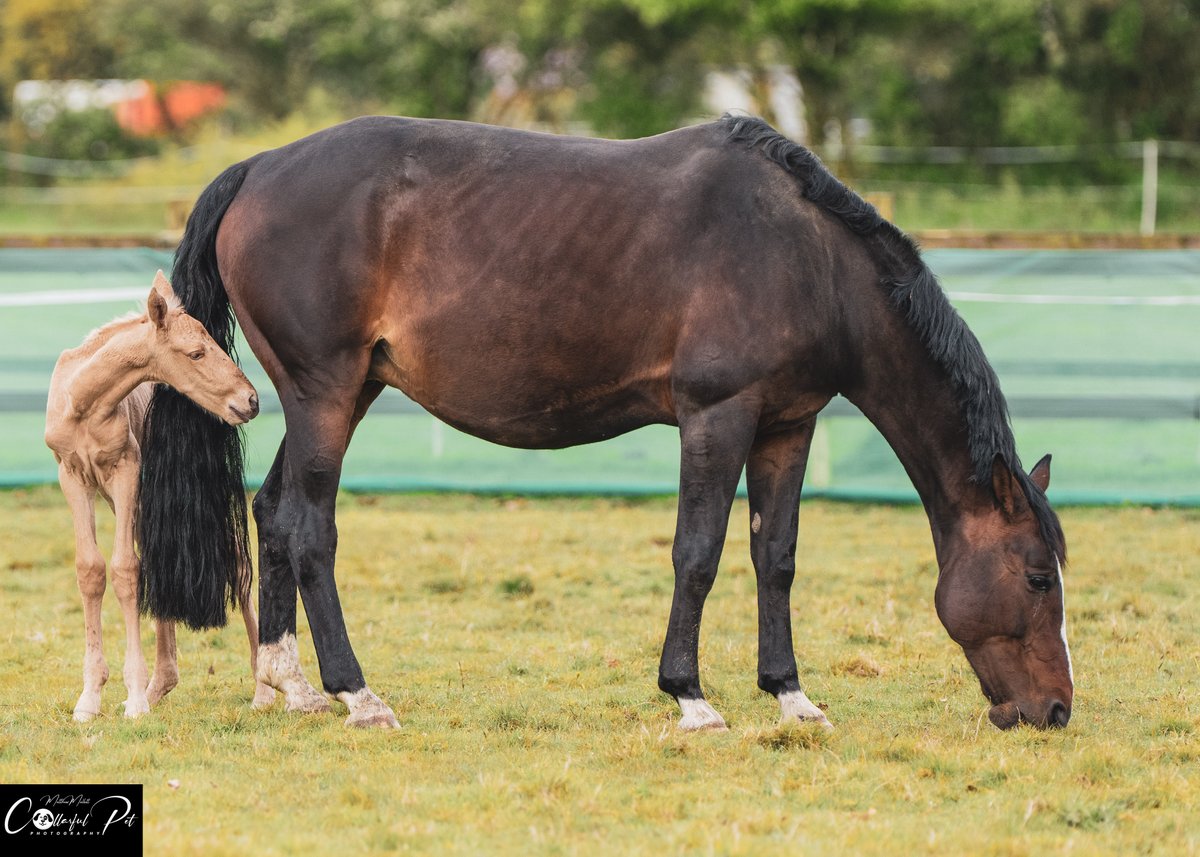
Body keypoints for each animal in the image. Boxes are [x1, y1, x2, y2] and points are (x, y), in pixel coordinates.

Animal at [44, 270, 272, 715]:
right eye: (197, 353)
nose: (250, 401)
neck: (84, 401)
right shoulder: (72, 475)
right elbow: (91, 570)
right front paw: (90, 700)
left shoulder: (127, 469)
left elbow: (125, 570)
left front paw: (133, 698)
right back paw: (158, 686)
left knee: (239, 570)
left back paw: (263, 690)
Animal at [136, 111, 1075, 729]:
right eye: (1037, 576)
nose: (1056, 709)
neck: (804, 255)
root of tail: (259, 167)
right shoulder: (717, 415)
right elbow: (698, 553)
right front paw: (690, 695)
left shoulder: (787, 425)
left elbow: (774, 558)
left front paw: (790, 693)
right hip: (325, 393)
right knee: (309, 525)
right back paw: (356, 692)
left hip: (340, 393)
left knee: (272, 513)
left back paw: (284, 683)